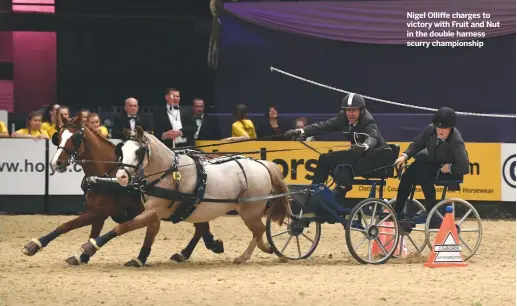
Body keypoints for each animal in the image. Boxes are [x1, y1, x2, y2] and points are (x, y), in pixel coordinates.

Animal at [20, 115, 222, 266]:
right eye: (58, 136)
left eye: (75, 137)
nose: (56, 163)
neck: (106, 174)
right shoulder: (98, 213)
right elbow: (82, 231)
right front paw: (81, 255)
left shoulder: (99, 211)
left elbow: (67, 225)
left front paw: (35, 245)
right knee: (201, 226)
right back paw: (193, 249)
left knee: (201, 226)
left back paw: (200, 247)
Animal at [80, 126, 290, 266]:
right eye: (121, 150)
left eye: (139, 151)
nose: (121, 177)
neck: (167, 173)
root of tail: (262, 164)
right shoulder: (152, 212)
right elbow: (149, 234)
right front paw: (140, 258)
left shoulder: (154, 211)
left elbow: (123, 226)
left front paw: (91, 247)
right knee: (258, 231)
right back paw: (268, 248)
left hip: (250, 211)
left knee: (259, 229)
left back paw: (247, 255)